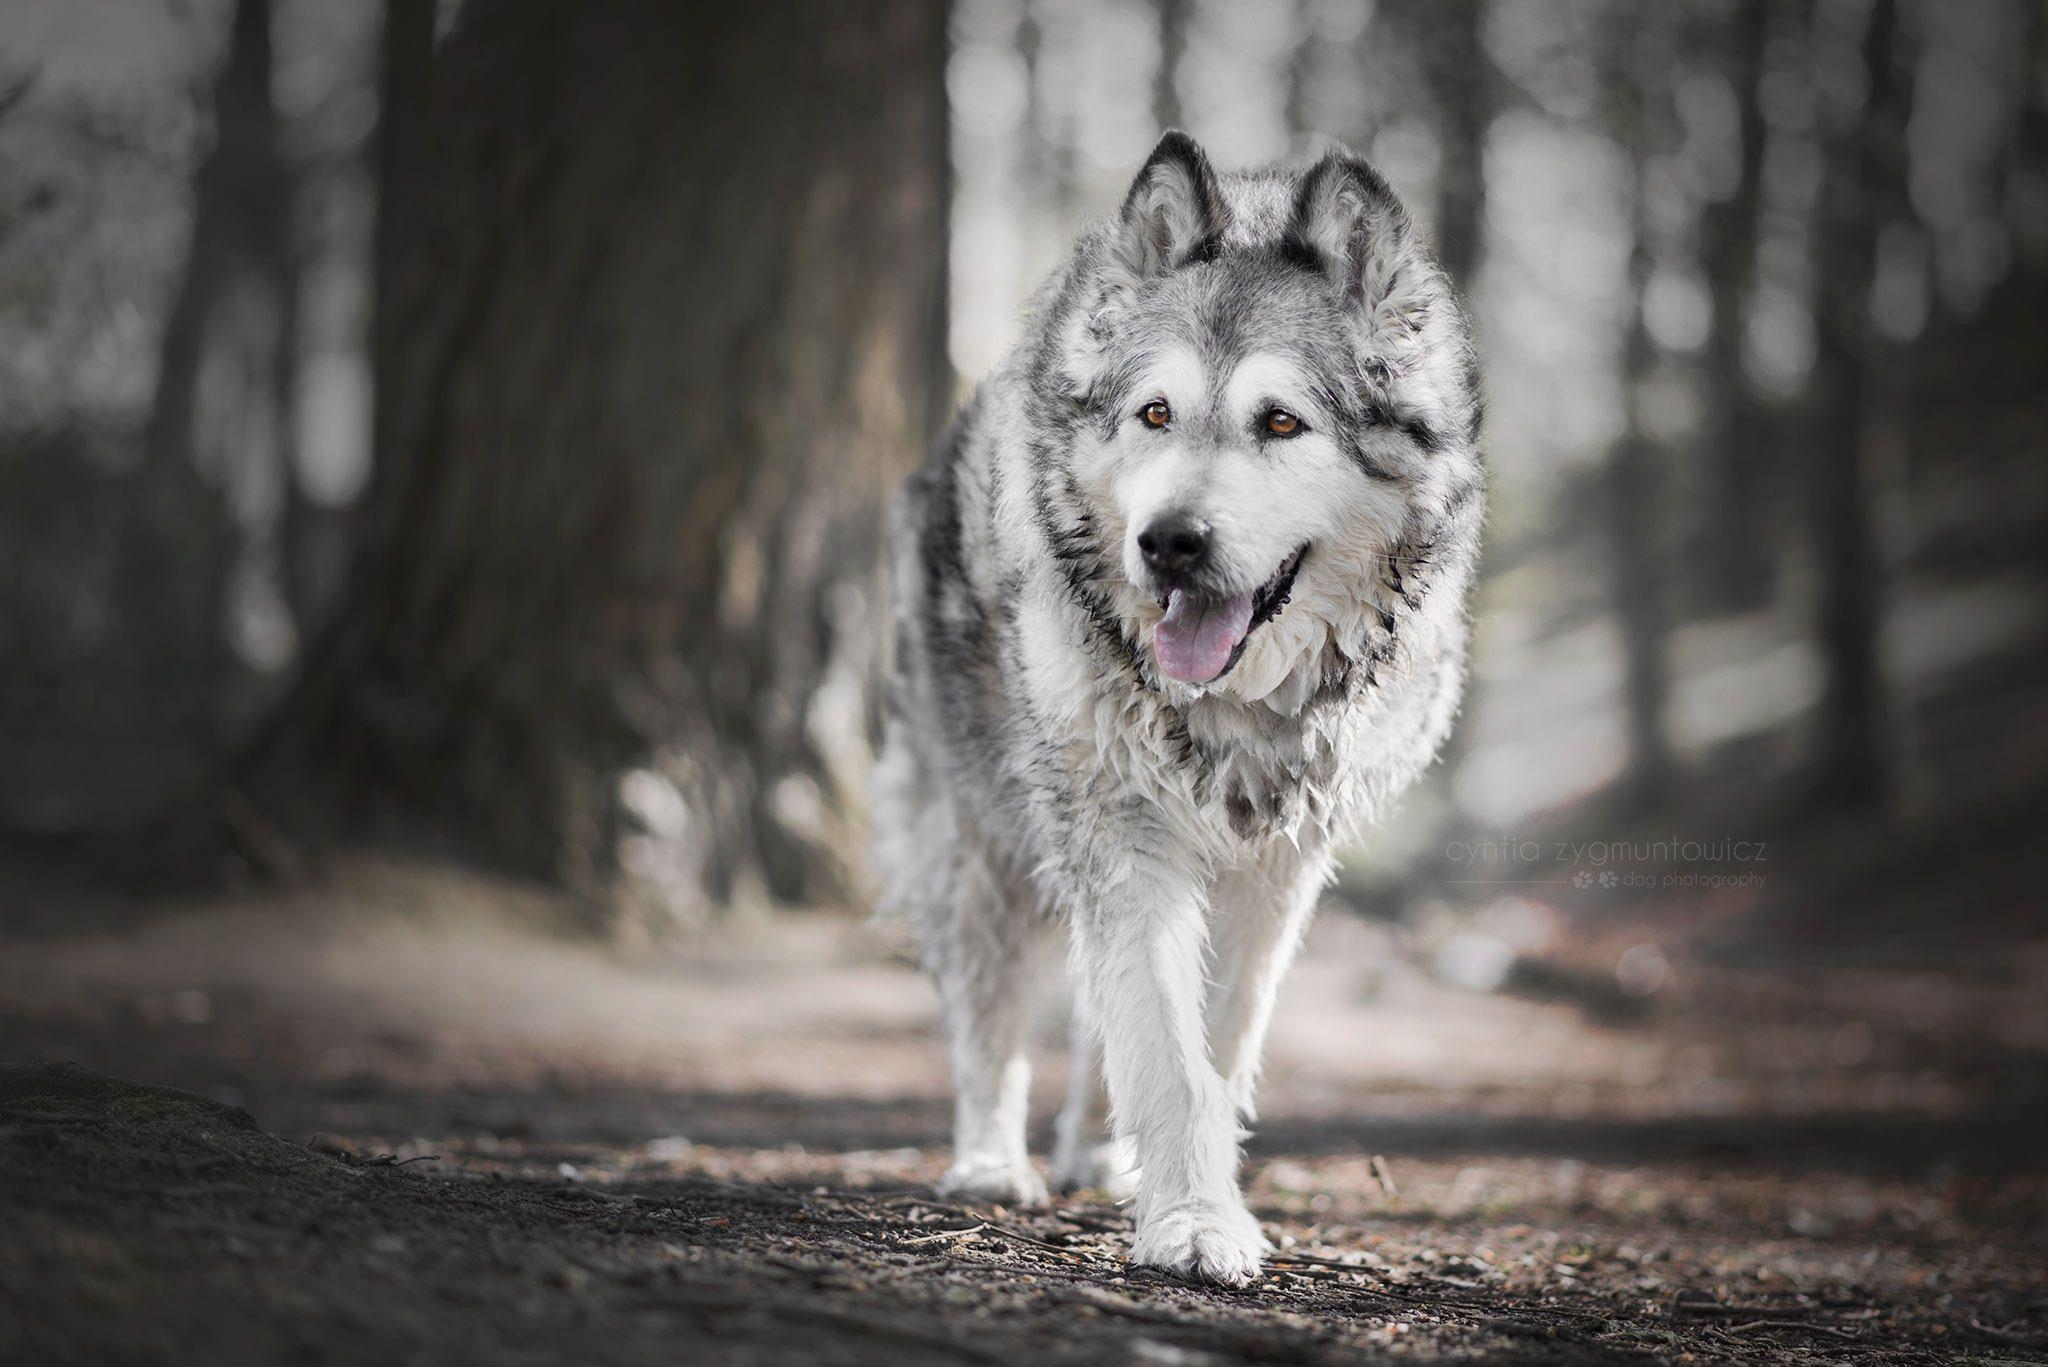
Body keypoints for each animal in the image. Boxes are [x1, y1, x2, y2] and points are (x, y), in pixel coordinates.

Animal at [872, 133, 1482, 1287]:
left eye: (1280, 421)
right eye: (1154, 413)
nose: (1167, 542)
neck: (1234, 708)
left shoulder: (1277, 866)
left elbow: (1212, 1042)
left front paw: (1181, 1196)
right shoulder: (1122, 833)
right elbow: (1161, 1044)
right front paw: (1195, 1222)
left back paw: (1095, 1153)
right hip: (976, 845)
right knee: (990, 1018)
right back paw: (991, 1164)